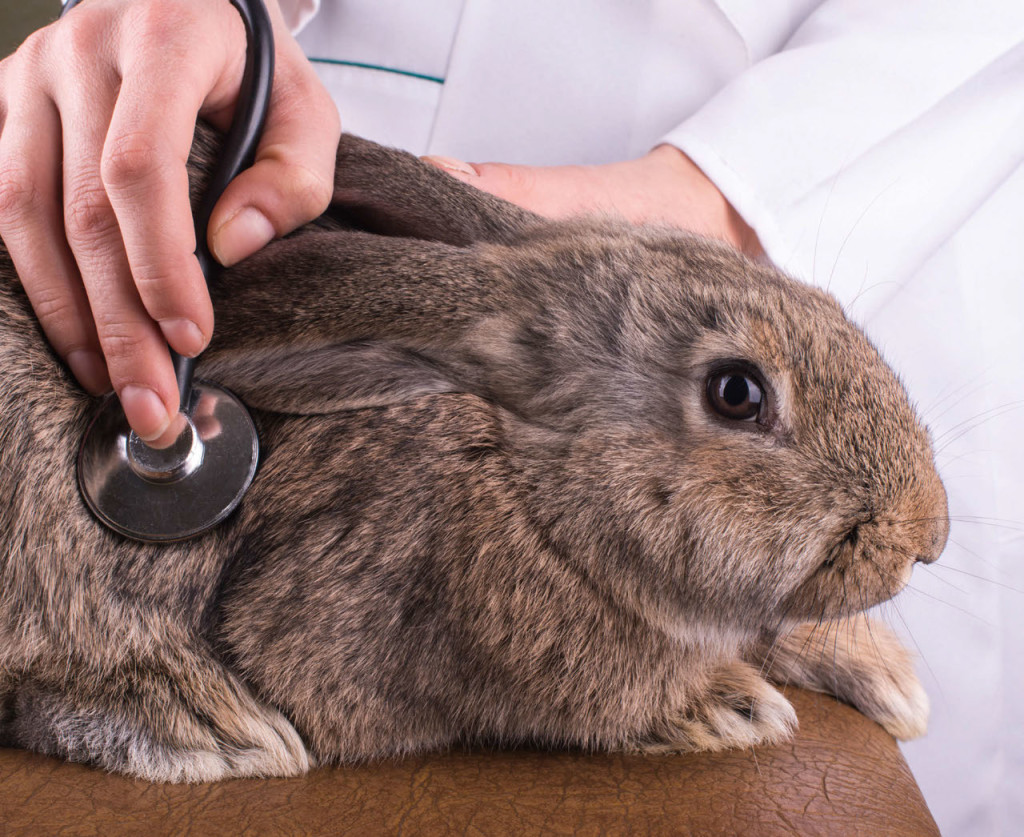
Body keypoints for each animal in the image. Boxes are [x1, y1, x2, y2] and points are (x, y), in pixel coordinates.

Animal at [0, 120, 942, 778]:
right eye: (737, 392)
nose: (927, 535)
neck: (528, 486)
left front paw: (887, 676)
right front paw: (728, 704)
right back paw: (206, 725)